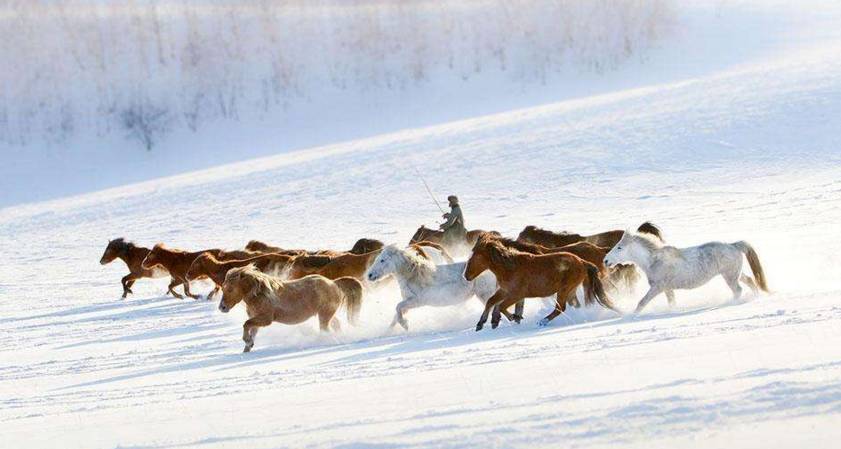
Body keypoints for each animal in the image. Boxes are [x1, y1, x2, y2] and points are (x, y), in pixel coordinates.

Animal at [217, 264, 360, 352]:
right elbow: (251, 330)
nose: (222, 307)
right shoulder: (257, 319)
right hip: (327, 314)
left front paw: (247, 342)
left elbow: (246, 324)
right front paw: (248, 347)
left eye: (230, 289)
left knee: (326, 330)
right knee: (336, 324)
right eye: (223, 288)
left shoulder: (266, 319)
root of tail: (334, 283)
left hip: (325, 315)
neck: (260, 294)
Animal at [364, 245, 502, 328]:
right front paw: (387, 332)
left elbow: (397, 307)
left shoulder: (416, 301)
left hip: (484, 294)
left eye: (382, 260)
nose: (369, 275)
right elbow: (395, 317)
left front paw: (405, 325)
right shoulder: (407, 302)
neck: (414, 276)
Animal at [466, 234, 616, 328]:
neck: (510, 267)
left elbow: (502, 306)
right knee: (573, 305)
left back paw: (542, 322)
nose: (466, 275)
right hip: (572, 289)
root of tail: (583, 262)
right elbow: (492, 302)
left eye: (476, 254)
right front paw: (483, 323)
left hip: (566, 289)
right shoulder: (505, 291)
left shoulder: (516, 294)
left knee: (561, 308)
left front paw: (510, 318)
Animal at [604, 229, 768, 314]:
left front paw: (632, 316)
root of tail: (734, 245)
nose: (605, 261)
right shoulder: (667, 289)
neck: (653, 261)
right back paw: (755, 296)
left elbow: (642, 303)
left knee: (738, 290)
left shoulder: (657, 287)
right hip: (735, 274)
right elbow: (672, 303)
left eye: (619, 247)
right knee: (750, 281)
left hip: (730, 277)